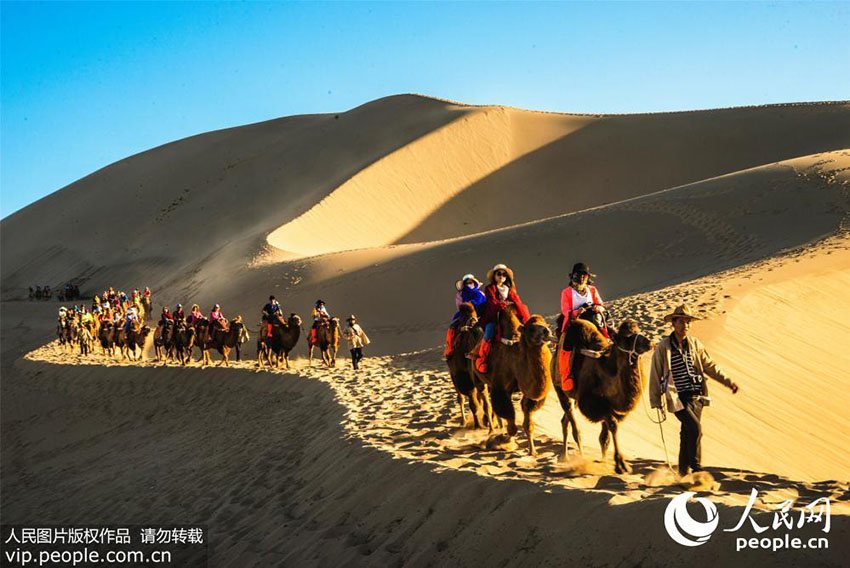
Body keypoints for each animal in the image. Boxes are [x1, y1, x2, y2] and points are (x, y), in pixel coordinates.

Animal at [468, 308, 552, 454]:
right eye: (531, 328)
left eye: (545, 323)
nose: (547, 331)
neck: (516, 362)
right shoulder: (501, 389)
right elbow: (512, 428)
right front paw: (500, 440)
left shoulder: (527, 393)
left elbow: (528, 424)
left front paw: (532, 451)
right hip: (478, 378)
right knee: (486, 403)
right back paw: (491, 431)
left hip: (491, 384)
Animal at [552, 318, 652, 472]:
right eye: (627, 337)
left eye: (638, 330)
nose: (649, 342)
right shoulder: (592, 405)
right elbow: (613, 425)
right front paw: (621, 464)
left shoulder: (613, 407)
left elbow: (605, 437)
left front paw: (605, 460)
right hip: (560, 390)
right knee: (575, 428)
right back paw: (579, 458)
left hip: (574, 397)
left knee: (565, 421)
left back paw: (565, 456)